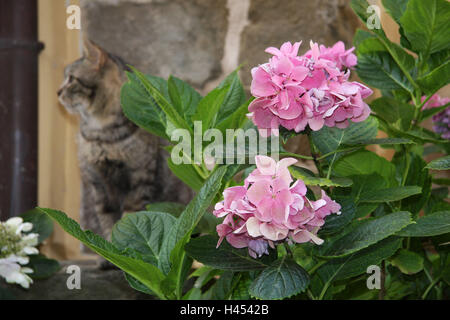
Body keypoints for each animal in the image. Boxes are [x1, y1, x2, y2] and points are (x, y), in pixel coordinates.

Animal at [57, 40, 192, 245]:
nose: (58, 92)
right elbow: (108, 223)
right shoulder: (99, 186)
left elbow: (127, 219)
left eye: (71, 79)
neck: (101, 134)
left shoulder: (139, 181)